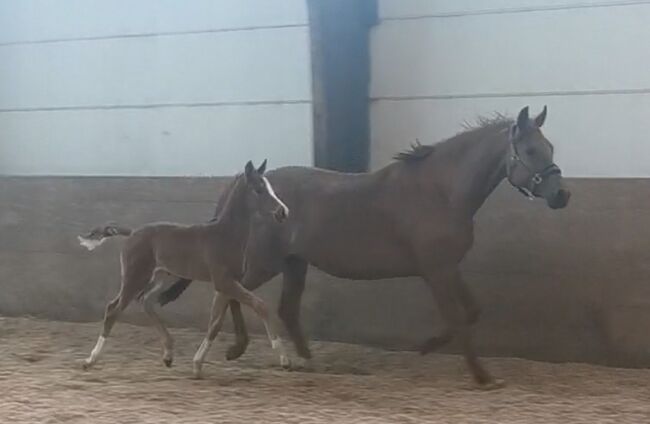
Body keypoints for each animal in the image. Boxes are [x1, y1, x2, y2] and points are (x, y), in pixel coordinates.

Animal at [161, 107, 568, 388]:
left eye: (550, 147)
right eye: (530, 150)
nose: (561, 195)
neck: (440, 191)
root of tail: (248, 182)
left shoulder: (449, 267)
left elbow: (472, 311)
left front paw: (428, 345)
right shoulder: (436, 270)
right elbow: (458, 318)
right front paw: (482, 376)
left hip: (294, 263)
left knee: (283, 307)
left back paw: (306, 361)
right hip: (266, 262)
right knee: (233, 292)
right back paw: (237, 349)